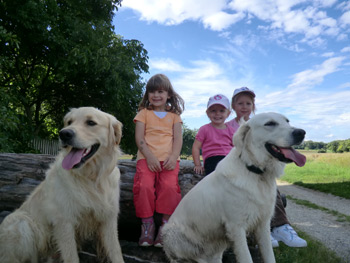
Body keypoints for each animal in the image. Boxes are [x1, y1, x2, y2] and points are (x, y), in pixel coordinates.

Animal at [0, 107, 125, 263]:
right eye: (69, 122)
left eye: (91, 122)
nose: (64, 134)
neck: (91, 178)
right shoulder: (64, 221)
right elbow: (71, 256)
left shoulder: (109, 219)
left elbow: (116, 251)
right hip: (21, 223)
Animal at [162, 113, 306, 263]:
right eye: (270, 123)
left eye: (287, 121)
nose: (301, 132)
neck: (256, 173)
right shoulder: (237, 228)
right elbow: (246, 257)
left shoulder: (263, 224)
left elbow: (269, 256)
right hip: (171, 233)